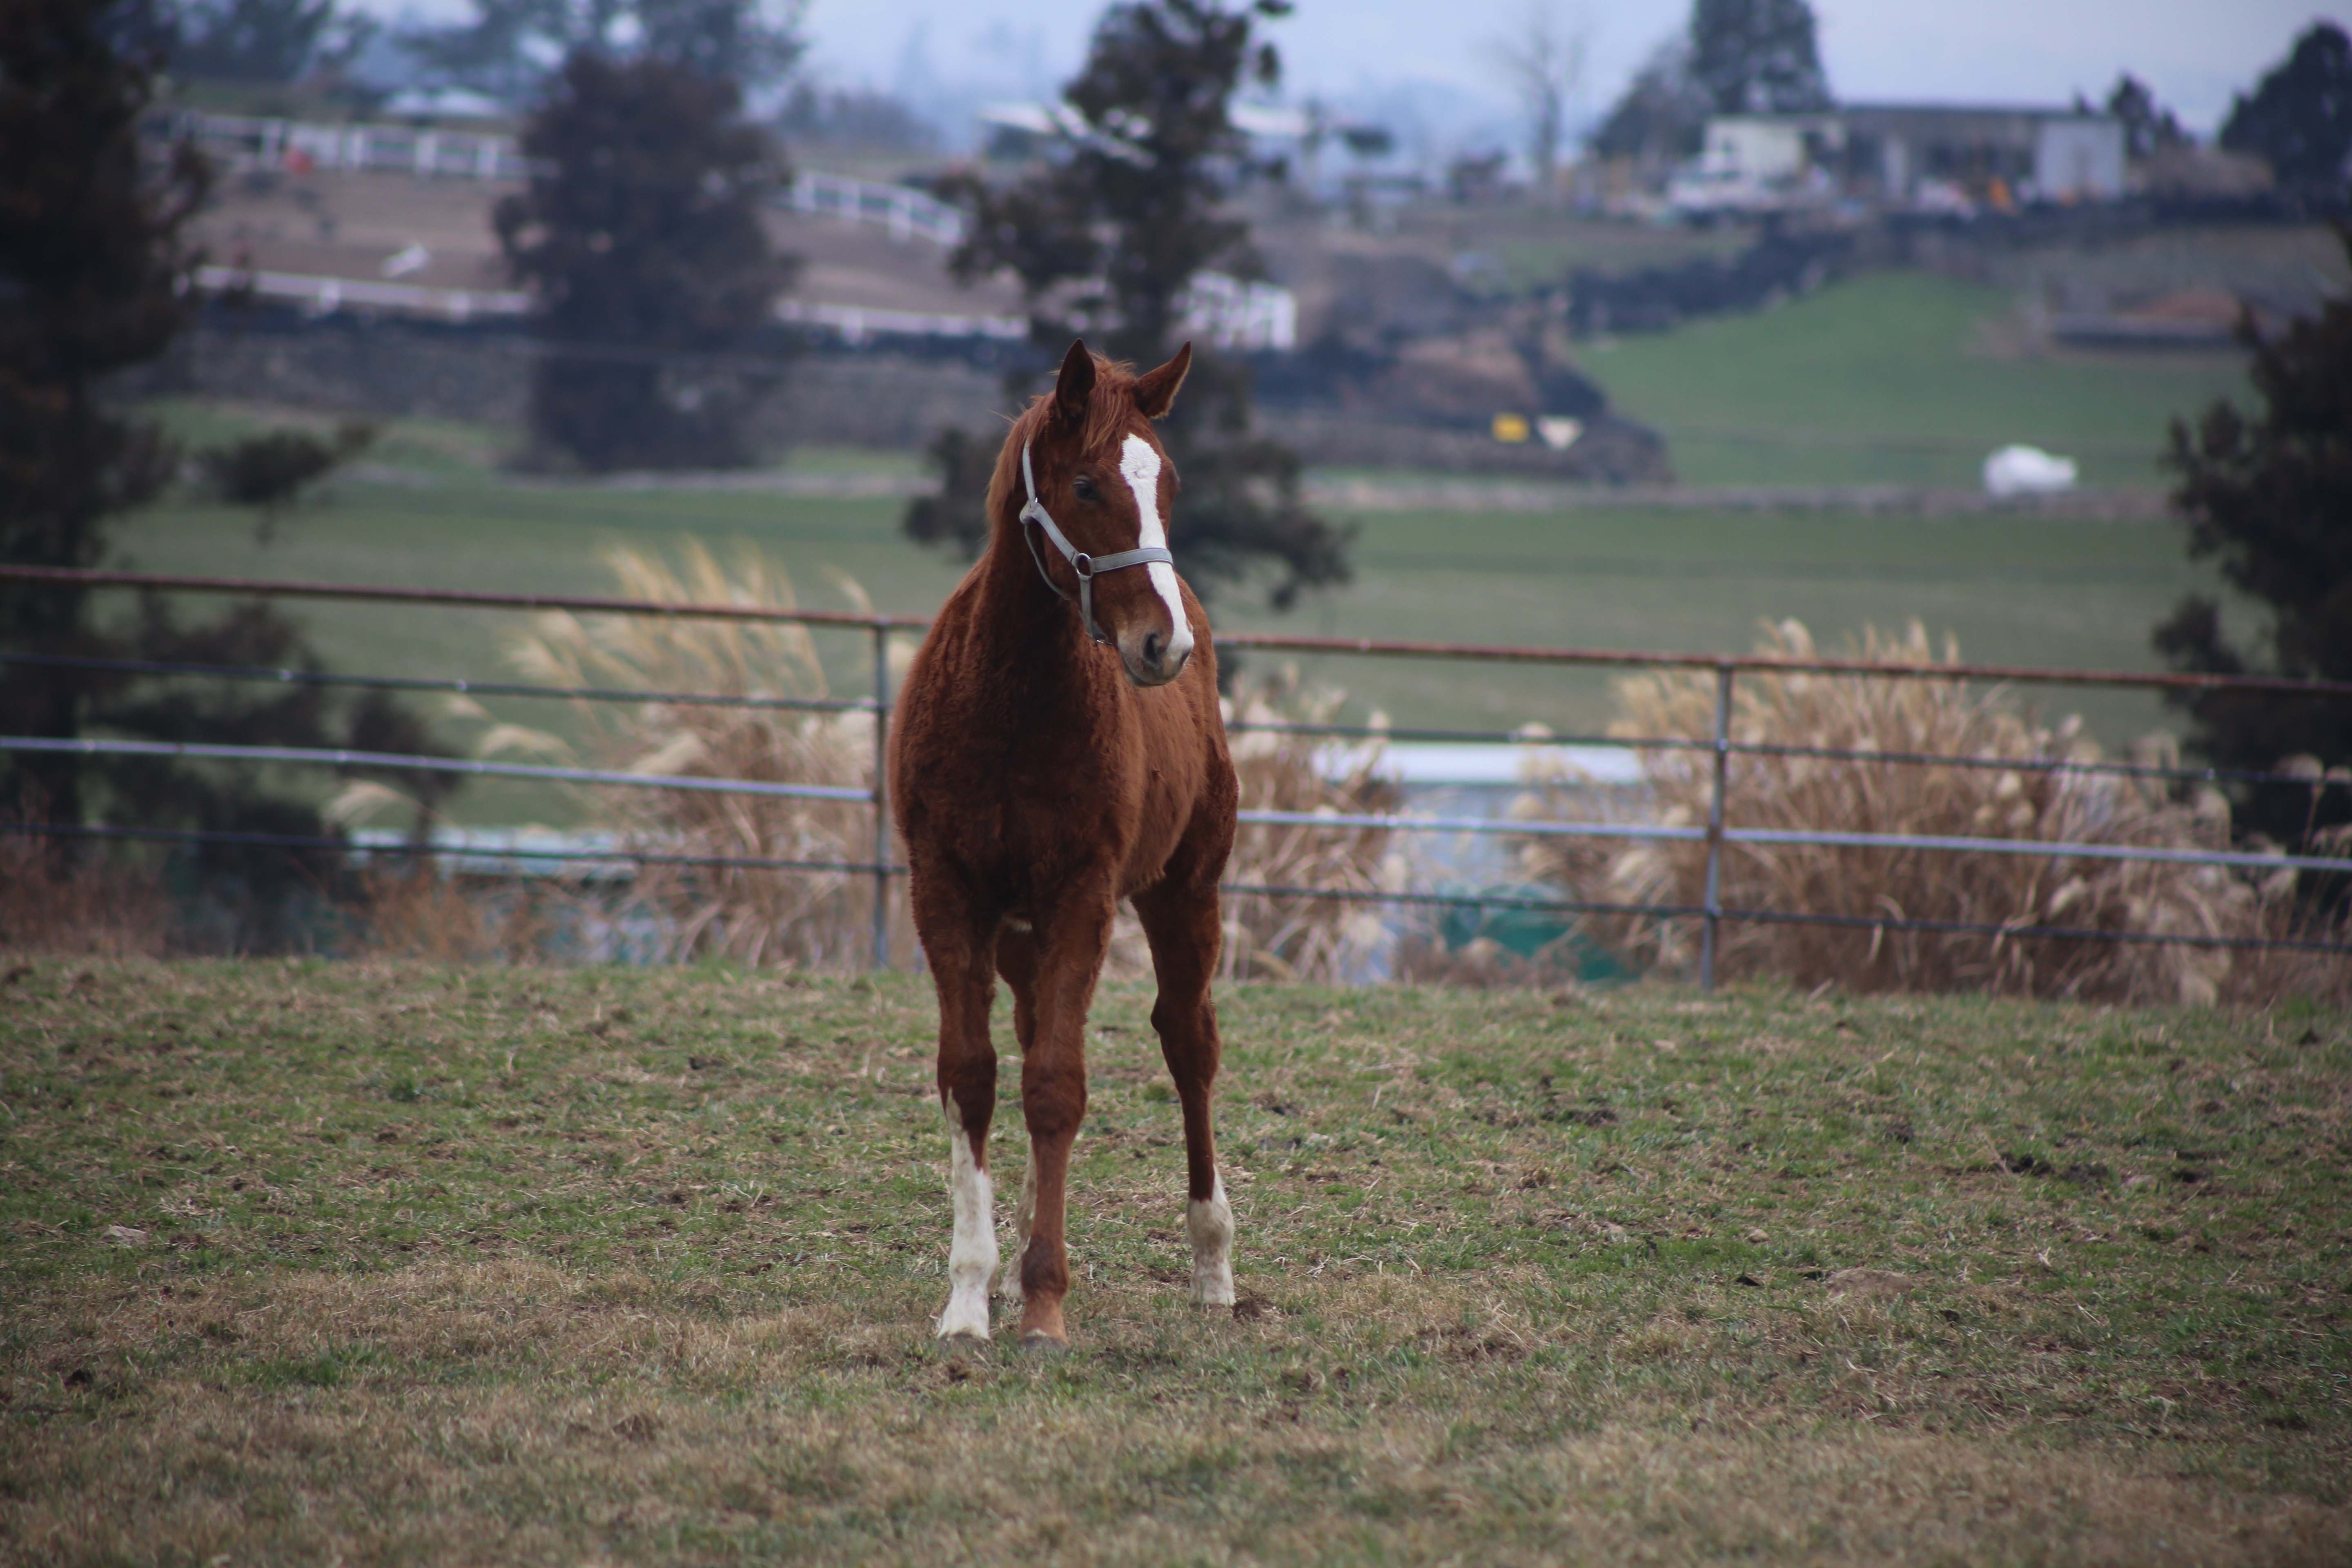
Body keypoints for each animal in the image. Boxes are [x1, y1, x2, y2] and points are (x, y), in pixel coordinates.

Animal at [889, 339, 1242, 1345]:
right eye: (1086, 484)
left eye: (1168, 482)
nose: (1163, 646)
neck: (1012, 704)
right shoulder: (948, 894)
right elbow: (972, 1077)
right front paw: (972, 1297)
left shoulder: (1084, 892)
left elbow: (1057, 1087)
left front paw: (1045, 1301)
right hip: (1022, 932)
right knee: (1033, 1028)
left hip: (1184, 892)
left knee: (1188, 1043)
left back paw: (1213, 1263)